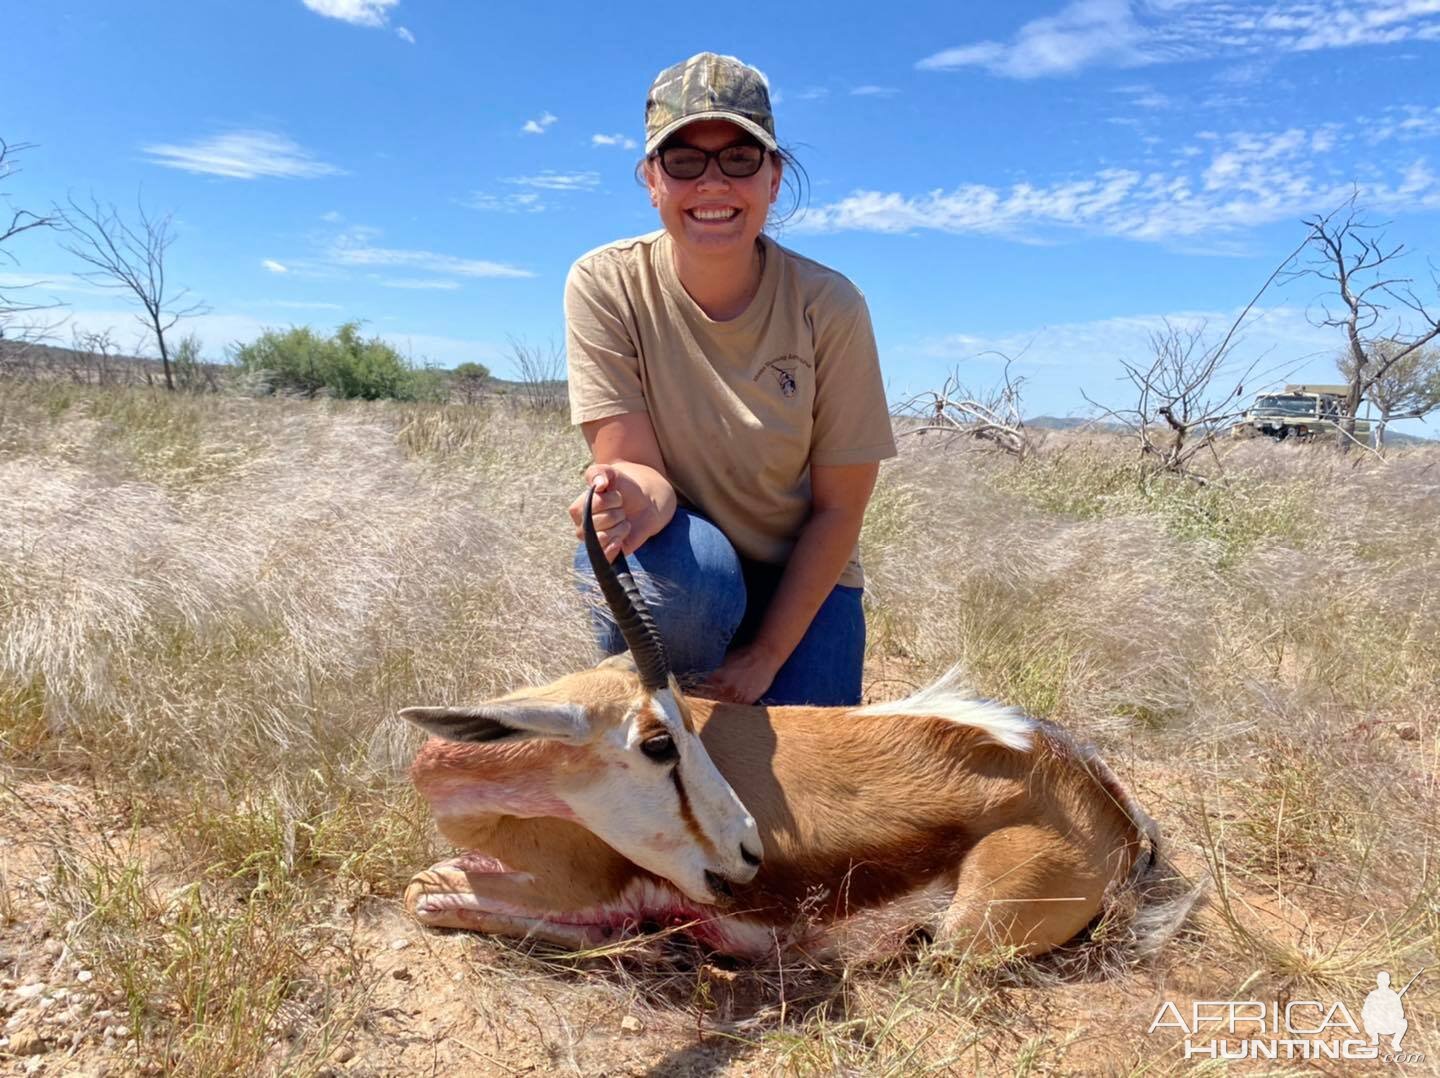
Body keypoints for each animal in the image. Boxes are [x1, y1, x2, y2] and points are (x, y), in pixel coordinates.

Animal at [403, 492, 1157, 955]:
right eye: (658, 742)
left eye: (676, 733)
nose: (747, 851)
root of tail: (1095, 794)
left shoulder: (578, 889)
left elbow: (422, 893)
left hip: (965, 936)